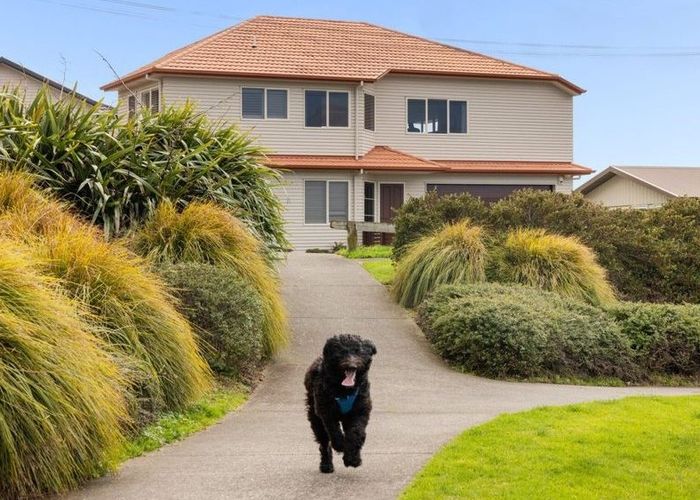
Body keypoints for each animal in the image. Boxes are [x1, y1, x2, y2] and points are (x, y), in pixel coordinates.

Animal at [302, 336, 374, 472]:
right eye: (342, 352)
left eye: (358, 351)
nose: (351, 365)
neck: (344, 390)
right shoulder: (326, 411)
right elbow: (333, 430)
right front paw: (340, 445)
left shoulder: (360, 411)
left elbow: (356, 433)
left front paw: (353, 459)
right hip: (315, 418)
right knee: (324, 442)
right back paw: (326, 465)